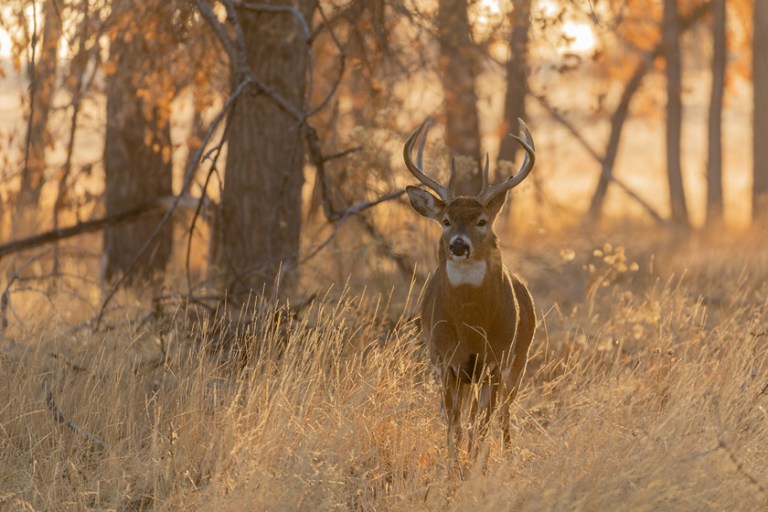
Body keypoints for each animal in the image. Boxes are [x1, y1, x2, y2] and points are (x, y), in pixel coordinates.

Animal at [403, 117, 537, 458]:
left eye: (482, 221)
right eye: (446, 220)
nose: (459, 246)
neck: (471, 326)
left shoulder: (496, 360)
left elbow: (481, 426)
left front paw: (477, 464)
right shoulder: (446, 360)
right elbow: (455, 426)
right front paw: (454, 467)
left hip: (519, 359)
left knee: (503, 413)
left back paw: (507, 454)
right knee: (470, 413)